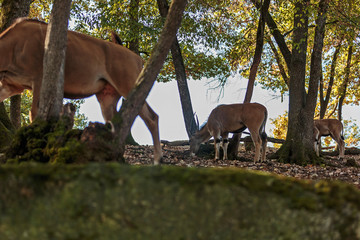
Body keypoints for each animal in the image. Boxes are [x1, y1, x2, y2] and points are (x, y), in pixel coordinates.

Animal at [0, 18, 162, 164]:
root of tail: (139, 59)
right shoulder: (11, 85)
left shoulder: (39, 80)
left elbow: (33, 113)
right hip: (106, 97)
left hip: (128, 86)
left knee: (152, 117)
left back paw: (157, 160)